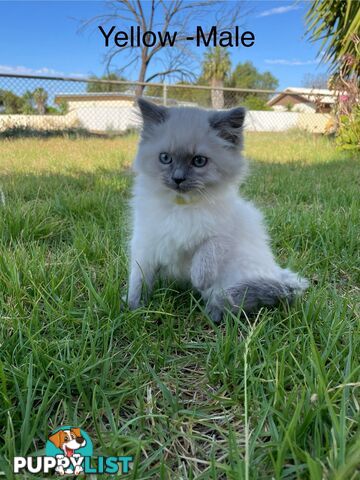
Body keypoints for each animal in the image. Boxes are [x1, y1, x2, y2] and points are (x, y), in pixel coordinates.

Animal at [126, 97, 306, 322]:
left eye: (199, 161)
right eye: (165, 158)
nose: (177, 179)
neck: (183, 206)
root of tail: (278, 273)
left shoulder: (223, 234)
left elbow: (206, 251)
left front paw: (198, 278)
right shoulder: (145, 245)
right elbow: (138, 280)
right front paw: (133, 309)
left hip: (233, 276)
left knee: (231, 301)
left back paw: (213, 314)